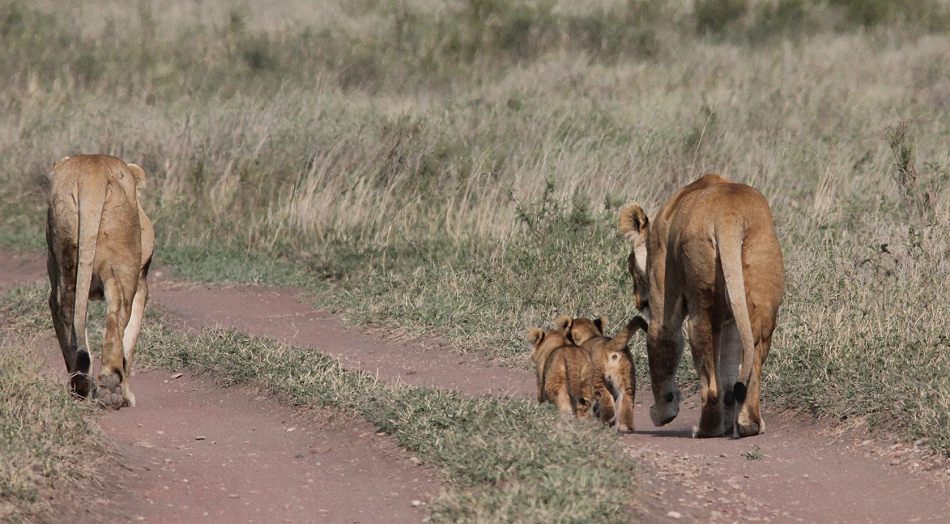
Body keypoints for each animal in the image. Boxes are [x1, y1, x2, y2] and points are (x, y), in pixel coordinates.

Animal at [46, 156, 153, 410]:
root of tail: (91, 173)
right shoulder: (142, 283)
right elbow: (129, 342)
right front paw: (127, 393)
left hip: (65, 254)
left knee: (67, 311)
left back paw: (82, 385)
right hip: (123, 267)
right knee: (116, 315)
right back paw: (112, 386)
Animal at [620, 174, 784, 436]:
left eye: (629, 267)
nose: (639, 301)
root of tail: (729, 216)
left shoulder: (664, 298)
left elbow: (663, 341)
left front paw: (663, 413)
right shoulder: (731, 320)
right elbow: (729, 367)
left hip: (701, 302)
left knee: (712, 384)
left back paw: (706, 429)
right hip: (759, 286)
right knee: (753, 358)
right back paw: (748, 424)